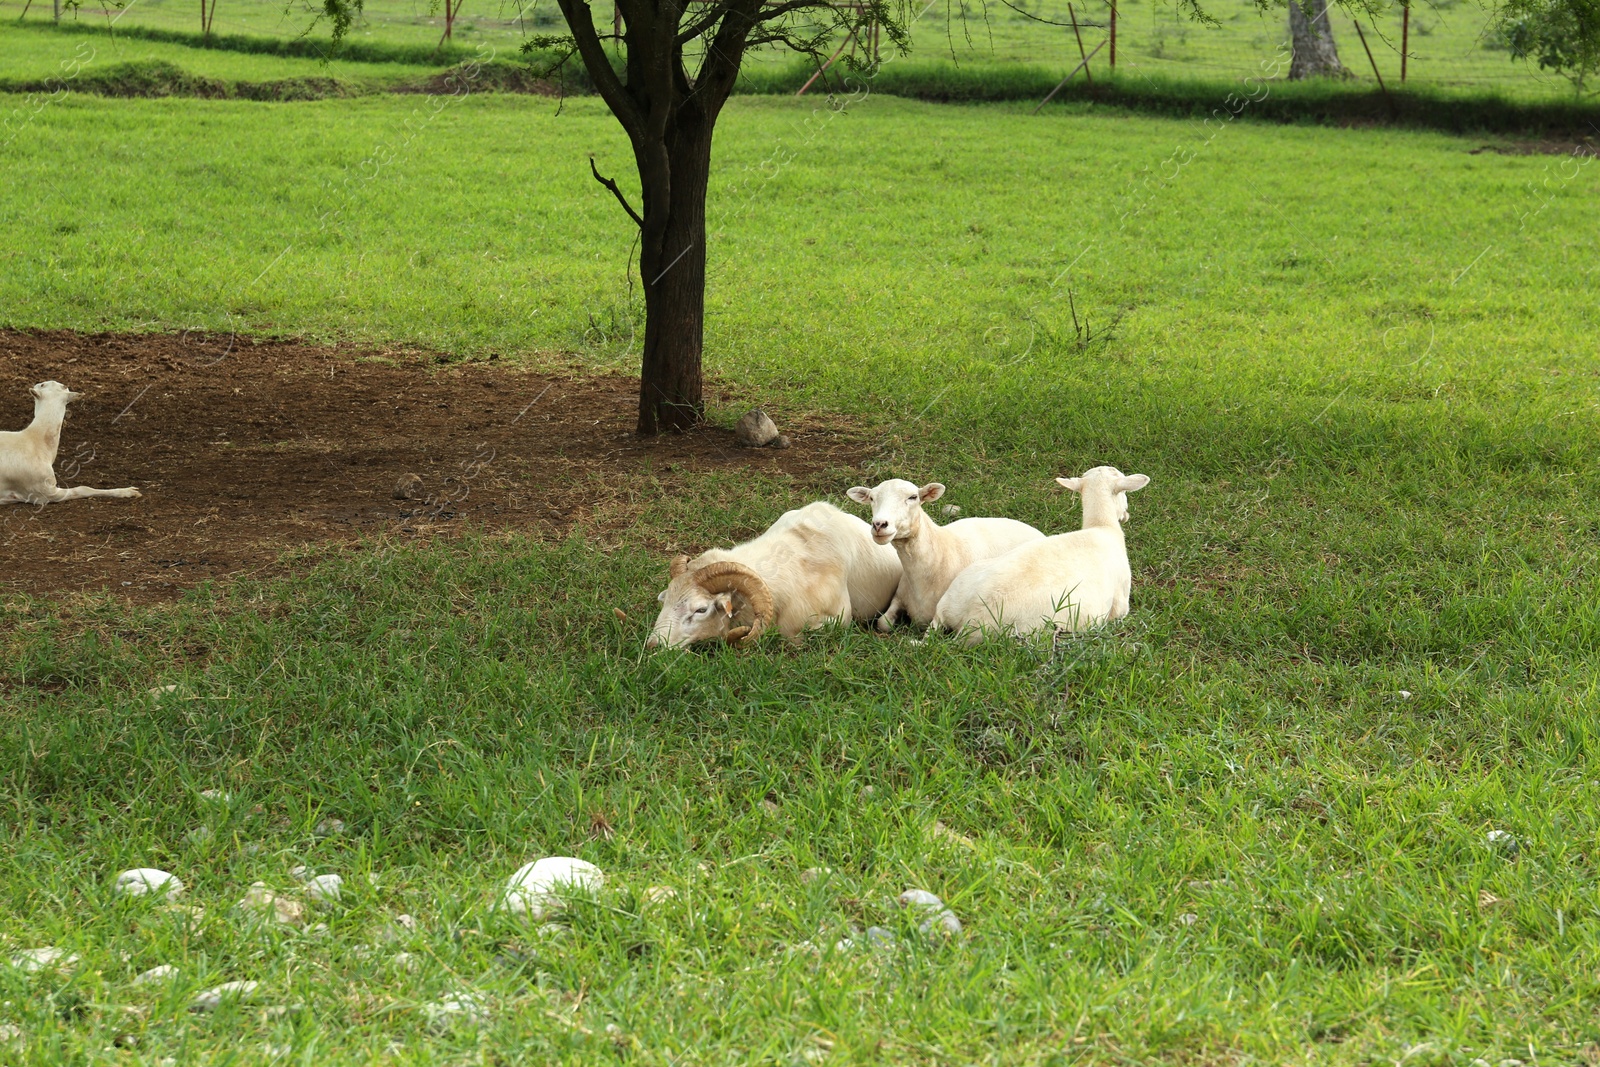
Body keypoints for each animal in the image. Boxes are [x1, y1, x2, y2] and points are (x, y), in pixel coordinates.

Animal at [0, 382, 140, 508]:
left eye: (42, 384)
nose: (35, 384)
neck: (37, 442)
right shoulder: (44, 492)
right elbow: (84, 488)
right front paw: (128, 491)